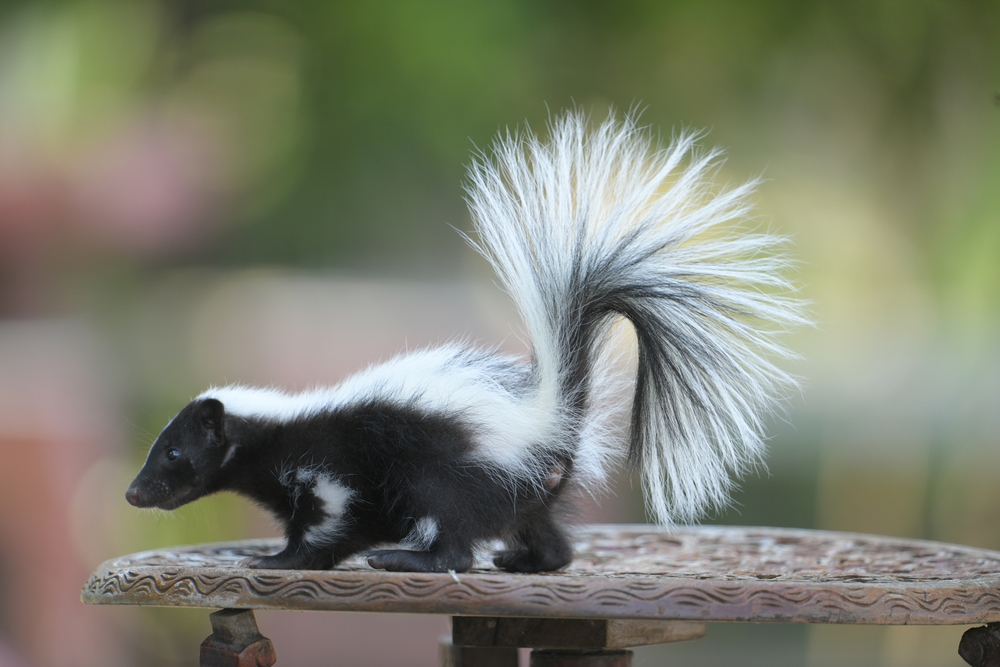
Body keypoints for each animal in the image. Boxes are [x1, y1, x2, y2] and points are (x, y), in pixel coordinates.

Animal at [125, 113, 804, 576]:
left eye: (174, 453)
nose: (134, 493)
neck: (280, 427)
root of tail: (547, 417)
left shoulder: (328, 472)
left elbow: (328, 525)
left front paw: (278, 560)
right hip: (525, 487)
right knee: (544, 535)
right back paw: (526, 561)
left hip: (447, 468)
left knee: (454, 535)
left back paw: (410, 559)